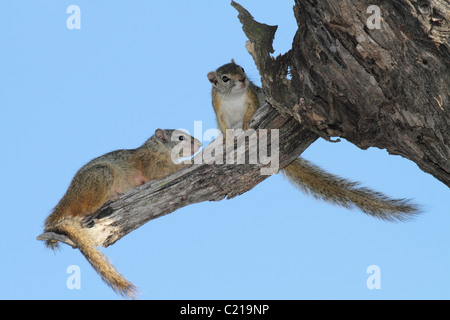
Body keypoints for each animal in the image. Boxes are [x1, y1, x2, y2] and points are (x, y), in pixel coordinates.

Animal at [43, 129, 202, 298]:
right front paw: (189, 162)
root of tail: (69, 197)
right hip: (100, 177)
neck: (157, 148)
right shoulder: (150, 161)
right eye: (180, 138)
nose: (200, 144)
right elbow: (162, 171)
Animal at [207, 59, 418, 220]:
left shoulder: (252, 97)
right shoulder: (219, 109)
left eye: (241, 69)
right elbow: (223, 125)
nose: (243, 80)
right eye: (225, 78)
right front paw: (227, 138)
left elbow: (251, 110)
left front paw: (245, 124)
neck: (234, 97)